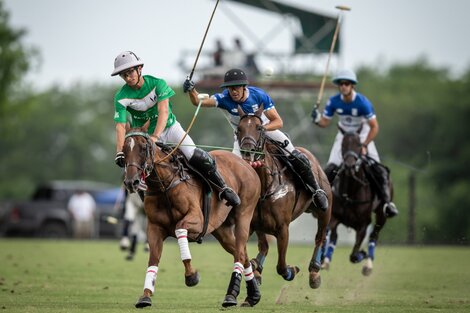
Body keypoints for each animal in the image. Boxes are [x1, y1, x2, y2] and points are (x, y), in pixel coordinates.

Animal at [121, 122, 260, 308]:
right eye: (124, 150)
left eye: (144, 148)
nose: (131, 182)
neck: (165, 185)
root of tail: (246, 164)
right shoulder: (154, 227)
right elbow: (153, 259)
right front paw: (146, 295)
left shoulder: (197, 220)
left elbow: (180, 229)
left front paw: (191, 275)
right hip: (221, 229)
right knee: (243, 254)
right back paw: (253, 295)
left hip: (244, 214)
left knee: (239, 251)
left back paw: (231, 295)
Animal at [235, 109, 330, 288]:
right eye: (239, 129)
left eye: (259, 128)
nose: (248, 151)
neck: (266, 187)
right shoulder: (252, 223)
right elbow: (255, 248)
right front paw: (255, 268)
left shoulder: (283, 228)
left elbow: (281, 266)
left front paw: (291, 271)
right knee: (264, 246)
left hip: (325, 210)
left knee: (320, 237)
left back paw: (314, 272)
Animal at [322, 125, 392, 274]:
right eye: (342, 144)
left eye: (359, 144)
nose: (349, 165)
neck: (350, 192)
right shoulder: (334, 217)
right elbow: (328, 233)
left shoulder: (363, 224)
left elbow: (354, 255)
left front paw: (362, 254)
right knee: (334, 237)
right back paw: (326, 260)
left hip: (382, 214)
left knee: (374, 235)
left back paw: (368, 264)